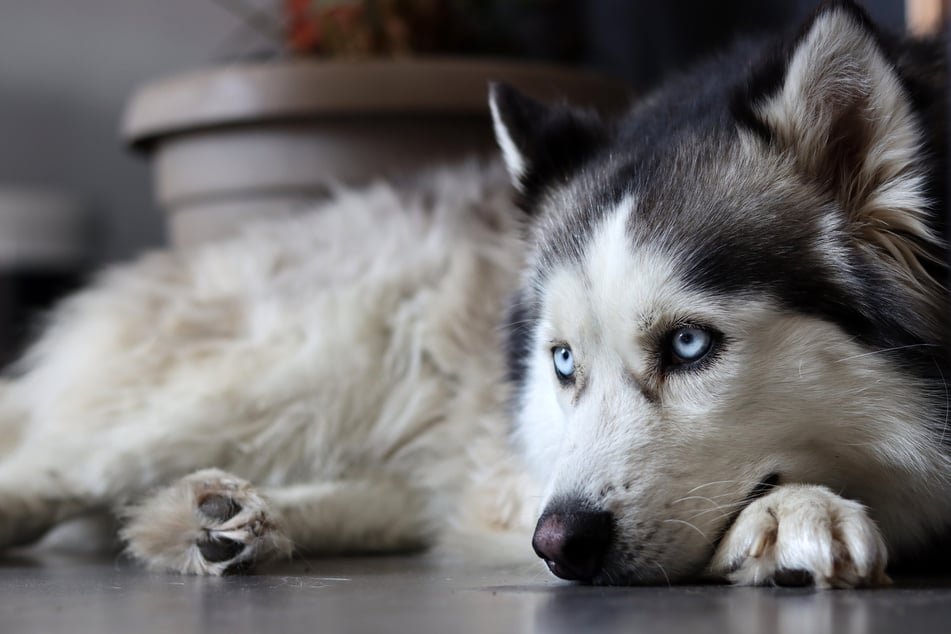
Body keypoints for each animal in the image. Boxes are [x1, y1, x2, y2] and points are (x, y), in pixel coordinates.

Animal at [0, 0, 948, 588]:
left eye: (688, 345)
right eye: (562, 362)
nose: (558, 544)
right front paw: (790, 512)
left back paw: (231, 521)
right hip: (290, 372)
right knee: (57, 456)